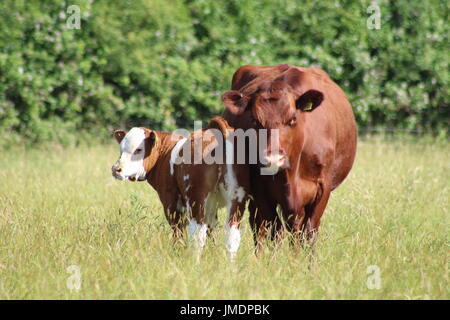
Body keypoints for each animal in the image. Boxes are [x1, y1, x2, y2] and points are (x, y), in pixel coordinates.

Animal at [110, 117, 250, 258]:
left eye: (138, 150)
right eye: (121, 149)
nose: (116, 169)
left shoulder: (170, 202)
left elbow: (178, 231)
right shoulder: (211, 205)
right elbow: (212, 230)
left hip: (195, 198)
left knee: (197, 234)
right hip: (236, 199)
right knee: (231, 234)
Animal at [221, 64, 356, 250]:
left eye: (292, 119)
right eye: (255, 121)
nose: (273, 159)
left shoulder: (323, 187)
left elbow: (308, 232)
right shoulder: (261, 189)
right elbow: (275, 230)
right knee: (259, 226)